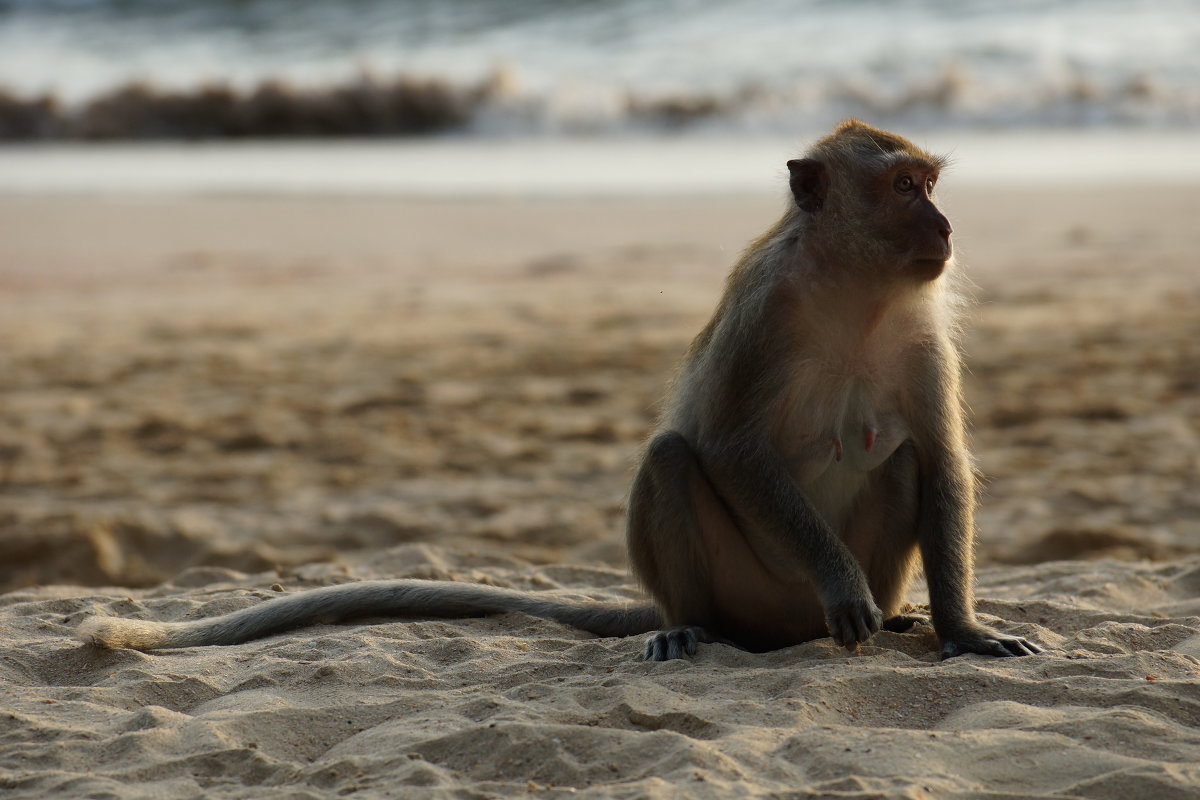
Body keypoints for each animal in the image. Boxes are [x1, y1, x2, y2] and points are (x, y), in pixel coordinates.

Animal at [77, 120, 1041, 662]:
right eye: (904, 187)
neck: (852, 290)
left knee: (904, 458)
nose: (945, 226)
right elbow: (729, 446)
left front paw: (964, 630)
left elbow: (942, 461)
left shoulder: (922, 328)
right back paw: (693, 627)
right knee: (671, 461)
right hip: (758, 593)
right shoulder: (766, 312)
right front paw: (843, 588)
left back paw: (904, 617)